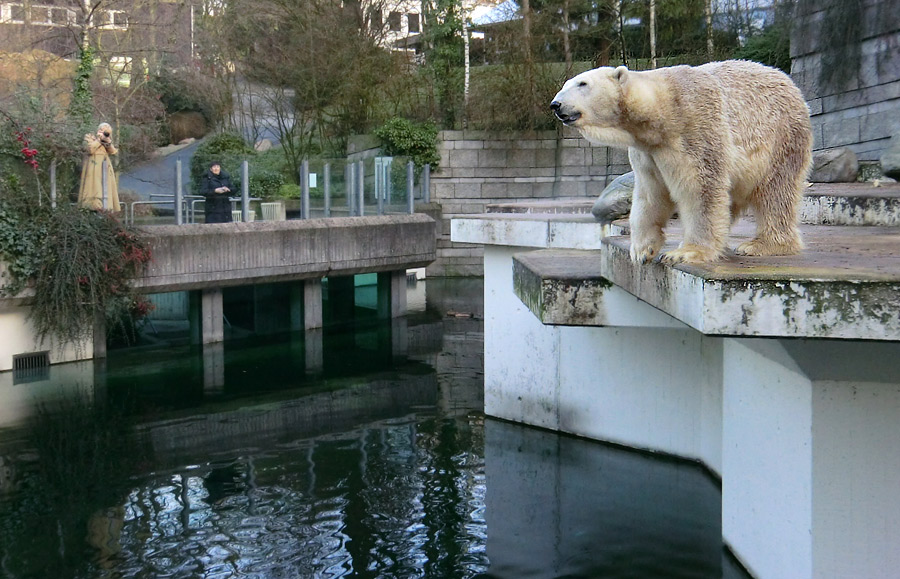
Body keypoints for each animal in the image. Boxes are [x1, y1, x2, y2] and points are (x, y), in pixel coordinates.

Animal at [552, 60, 812, 266]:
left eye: (582, 84)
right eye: (565, 84)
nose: (556, 104)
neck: (662, 109)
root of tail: (789, 82)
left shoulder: (695, 130)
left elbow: (700, 190)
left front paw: (685, 252)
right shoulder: (647, 152)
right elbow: (650, 194)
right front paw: (641, 250)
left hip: (783, 138)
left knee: (776, 192)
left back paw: (762, 245)